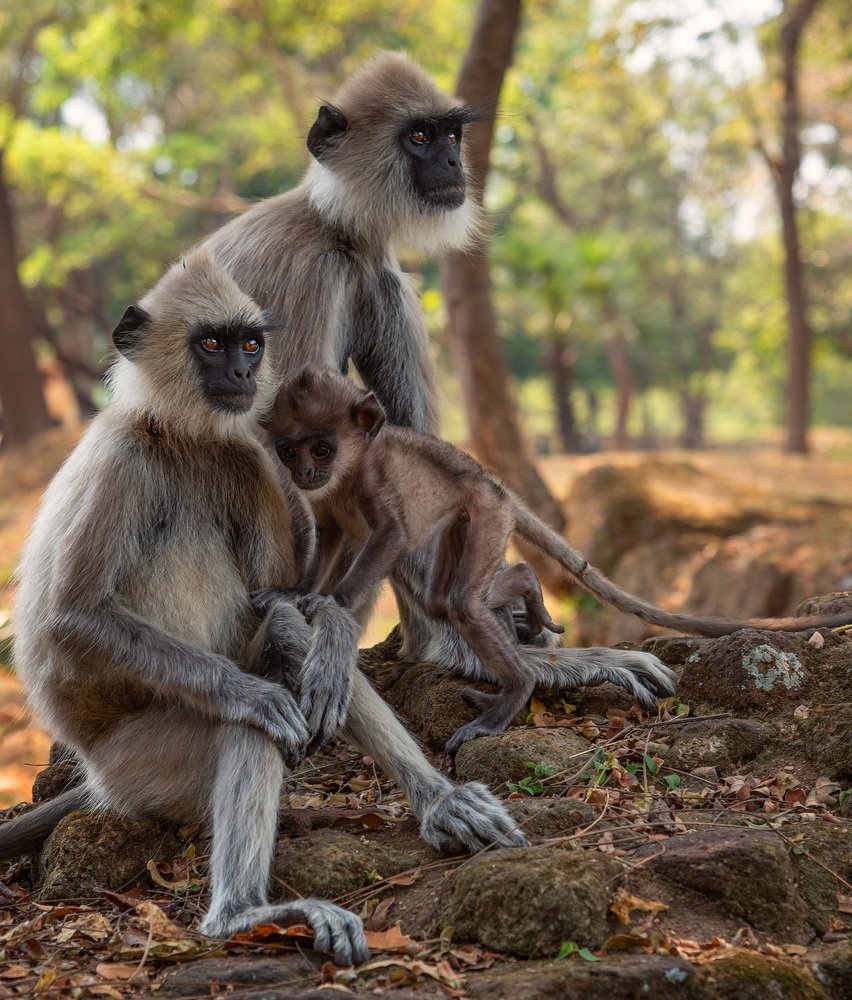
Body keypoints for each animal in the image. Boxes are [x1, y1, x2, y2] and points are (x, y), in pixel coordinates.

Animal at [2, 253, 526, 967]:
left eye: (250, 344)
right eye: (212, 344)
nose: (244, 375)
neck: (182, 435)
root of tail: (99, 779)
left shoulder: (244, 457)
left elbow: (283, 600)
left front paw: (309, 631)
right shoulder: (121, 459)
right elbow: (73, 617)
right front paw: (256, 692)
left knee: (298, 662)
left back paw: (437, 800)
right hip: (144, 765)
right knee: (248, 728)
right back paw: (243, 915)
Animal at [193, 51, 683, 711]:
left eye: (450, 135)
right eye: (419, 137)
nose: (455, 163)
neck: (333, 223)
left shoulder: (372, 266)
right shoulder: (316, 273)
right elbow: (292, 451)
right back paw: (457, 649)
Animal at [261, 365, 852, 752]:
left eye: (321, 448)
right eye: (290, 451)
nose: (304, 471)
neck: (348, 469)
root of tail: (496, 485)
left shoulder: (374, 477)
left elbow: (391, 533)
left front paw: (332, 604)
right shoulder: (330, 502)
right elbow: (330, 534)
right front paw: (298, 592)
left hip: (486, 513)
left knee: (460, 602)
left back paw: (512, 692)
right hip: (468, 523)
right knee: (445, 597)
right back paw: (526, 591)